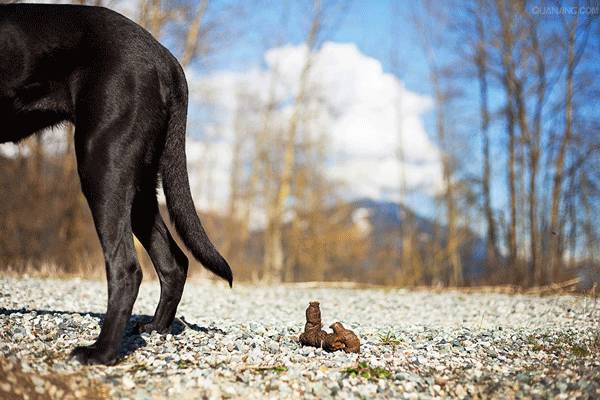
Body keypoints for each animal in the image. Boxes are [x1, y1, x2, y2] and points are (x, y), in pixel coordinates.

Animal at [0, 3, 232, 366]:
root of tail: (166, 59)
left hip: (101, 163)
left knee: (126, 268)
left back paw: (101, 351)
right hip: (139, 184)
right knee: (174, 262)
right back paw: (156, 328)